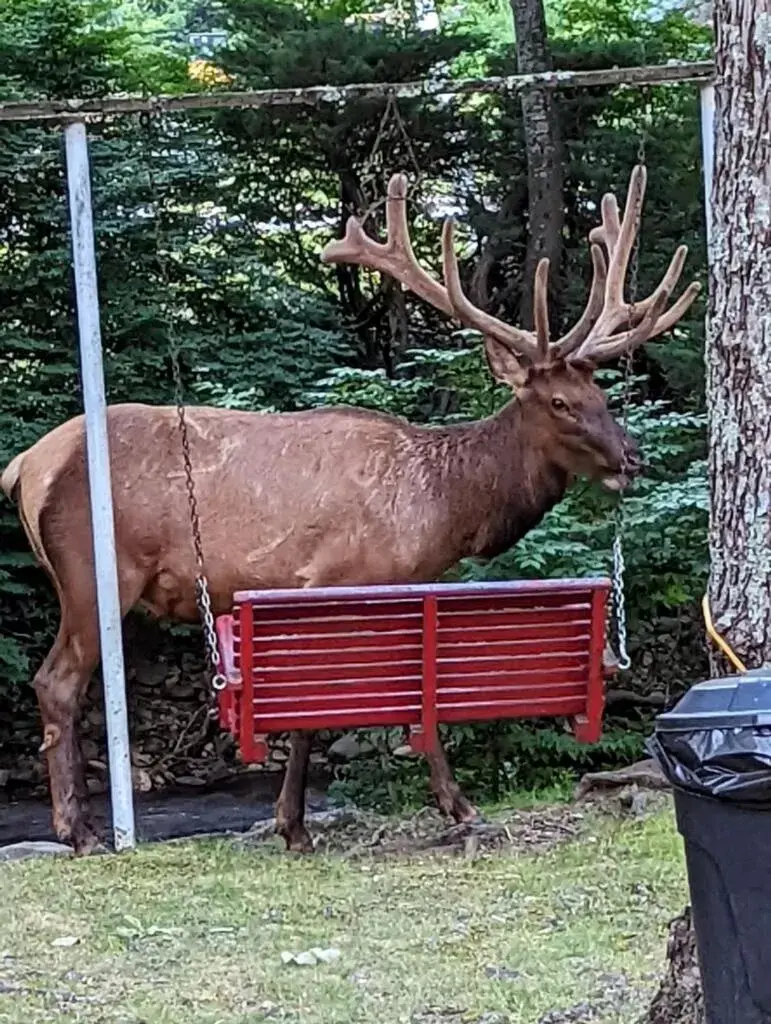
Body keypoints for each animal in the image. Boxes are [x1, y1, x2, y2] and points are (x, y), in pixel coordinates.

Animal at [0, 165, 696, 856]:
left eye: (600, 394)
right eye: (558, 402)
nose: (633, 458)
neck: (444, 511)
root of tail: (26, 466)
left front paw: (303, 820)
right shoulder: (338, 579)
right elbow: (342, 710)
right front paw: (431, 809)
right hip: (94, 571)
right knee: (56, 682)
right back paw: (81, 831)